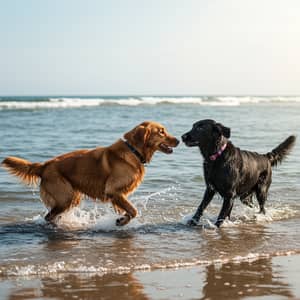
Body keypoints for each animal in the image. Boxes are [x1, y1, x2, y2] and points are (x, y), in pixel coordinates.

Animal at [2, 121, 179, 225]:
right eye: (161, 131)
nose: (178, 139)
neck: (133, 151)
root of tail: (44, 165)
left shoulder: (118, 195)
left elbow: (128, 210)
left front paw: (122, 218)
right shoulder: (113, 190)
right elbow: (133, 210)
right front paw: (122, 220)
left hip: (72, 197)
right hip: (65, 196)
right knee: (49, 216)